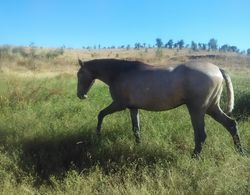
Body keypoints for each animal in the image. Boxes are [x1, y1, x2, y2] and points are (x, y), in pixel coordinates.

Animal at [76, 58, 242, 156]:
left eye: (79, 74)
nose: (80, 95)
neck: (120, 73)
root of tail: (217, 69)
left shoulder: (119, 104)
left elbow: (101, 114)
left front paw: (98, 134)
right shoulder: (133, 108)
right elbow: (136, 129)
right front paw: (138, 146)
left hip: (197, 110)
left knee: (201, 134)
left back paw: (194, 157)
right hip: (211, 108)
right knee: (231, 124)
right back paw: (241, 152)